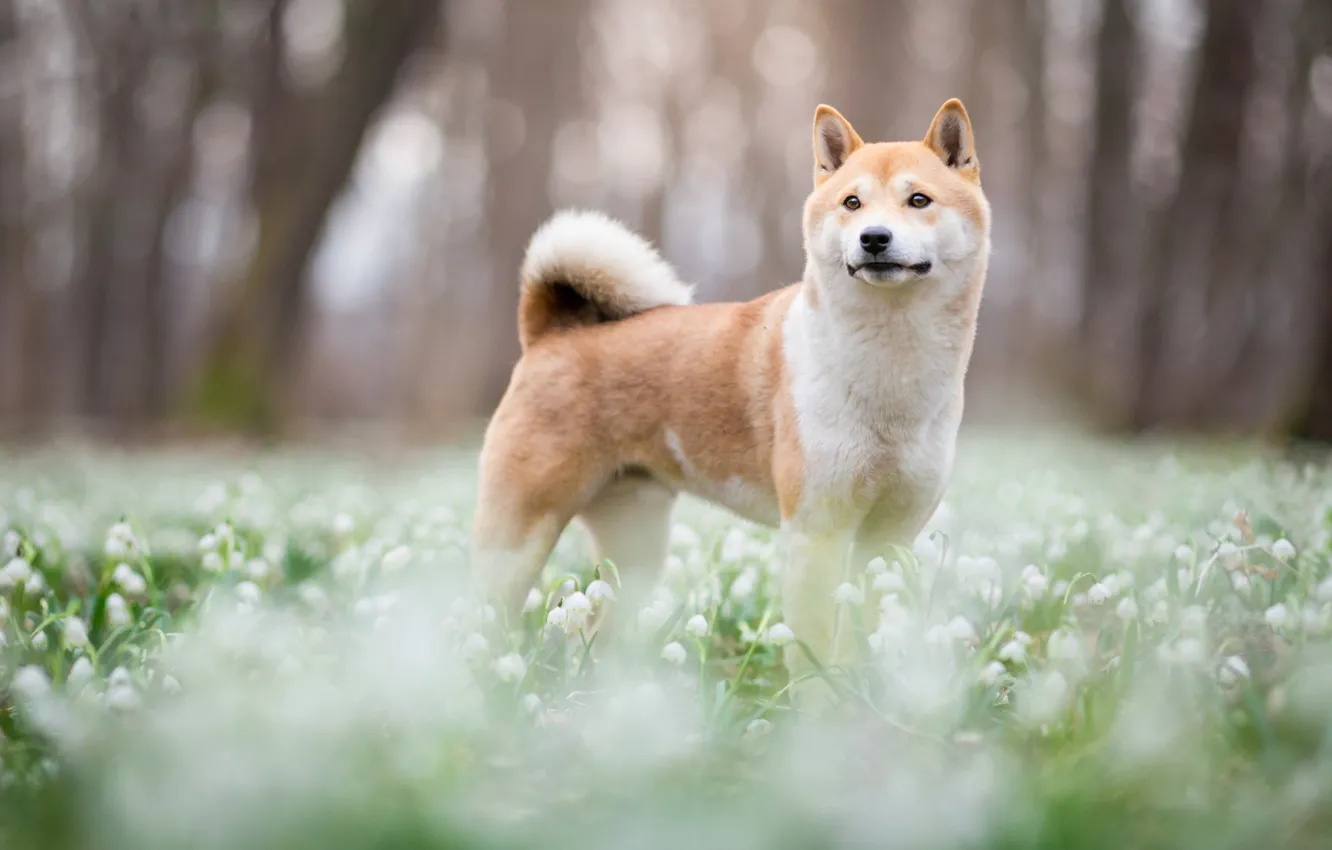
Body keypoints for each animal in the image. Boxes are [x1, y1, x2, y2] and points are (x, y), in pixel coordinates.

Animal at [468, 99, 991, 703]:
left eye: (919, 200)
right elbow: (816, 650)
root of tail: (549, 336)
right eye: (852, 202)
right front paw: (821, 711)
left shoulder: (889, 536)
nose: (874, 238)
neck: (892, 365)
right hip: (517, 536)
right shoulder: (815, 532)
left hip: (635, 544)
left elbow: (866, 631)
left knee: (598, 631)